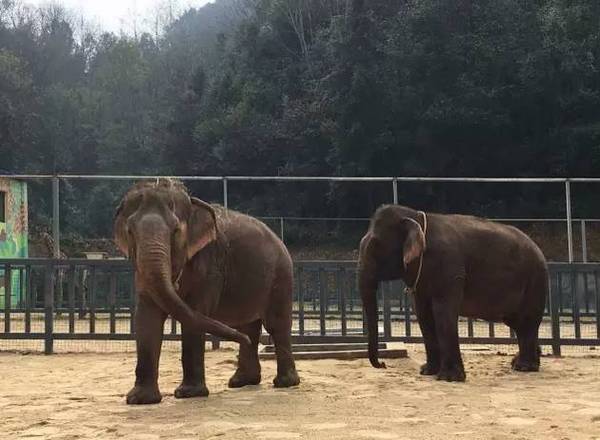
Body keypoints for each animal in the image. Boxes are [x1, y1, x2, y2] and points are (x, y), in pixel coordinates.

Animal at [113, 180, 300, 406]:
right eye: (130, 231)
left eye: (176, 231)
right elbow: (147, 318)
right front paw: (139, 399)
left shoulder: (209, 265)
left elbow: (194, 313)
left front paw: (188, 394)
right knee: (248, 326)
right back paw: (242, 380)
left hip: (281, 275)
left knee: (276, 325)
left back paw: (284, 383)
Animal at [358, 205, 552, 382]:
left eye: (376, 246)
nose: (383, 364)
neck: (415, 216)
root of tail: (539, 250)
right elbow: (423, 314)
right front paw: (427, 372)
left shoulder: (449, 268)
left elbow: (442, 312)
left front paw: (449, 378)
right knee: (518, 323)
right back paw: (519, 363)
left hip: (535, 280)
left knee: (526, 321)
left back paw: (523, 367)